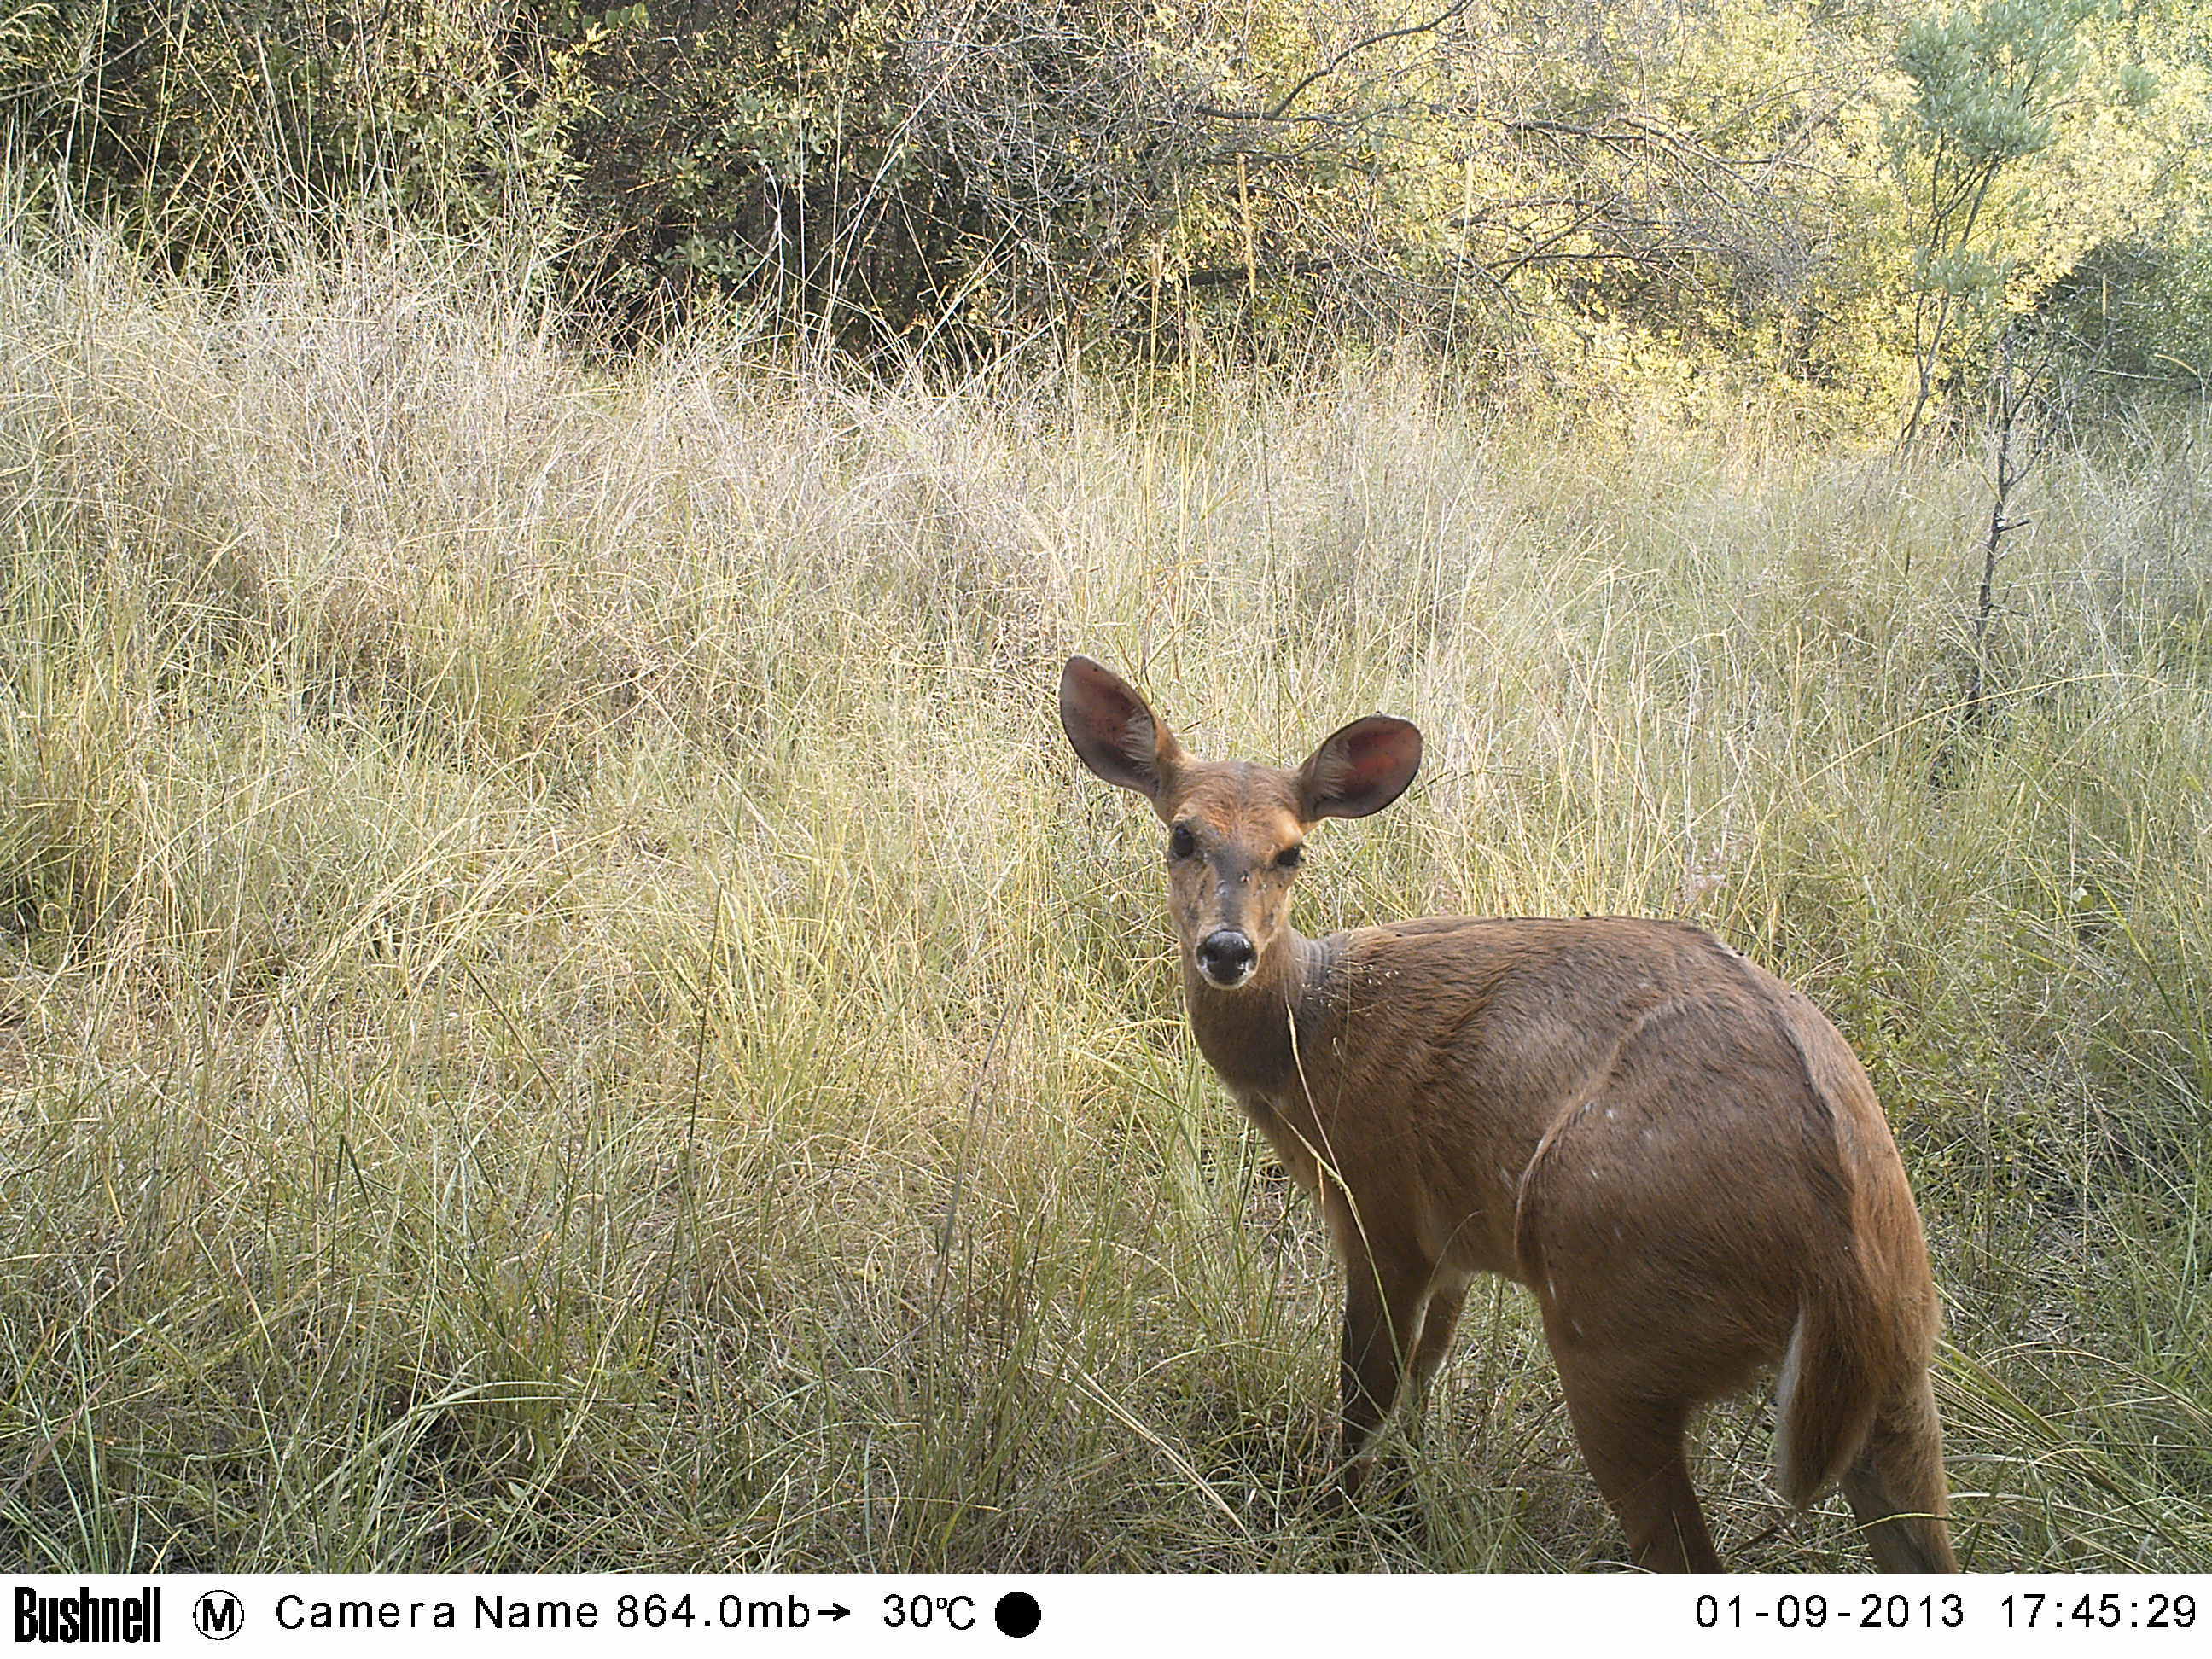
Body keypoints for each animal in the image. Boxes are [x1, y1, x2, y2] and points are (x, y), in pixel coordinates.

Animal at [1062, 655, 1964, 1575]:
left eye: (1292, 851)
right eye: (1182, 835)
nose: (1227, 949)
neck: (1308, 1039)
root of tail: (1843, 1262)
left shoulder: (1380, 1211)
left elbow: (1365, 1388)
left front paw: (1336, 1525)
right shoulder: (1457, 1241)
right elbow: (1424, 1376)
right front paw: (1403, 1502)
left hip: (1609, 1326)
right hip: (1901, 1375)